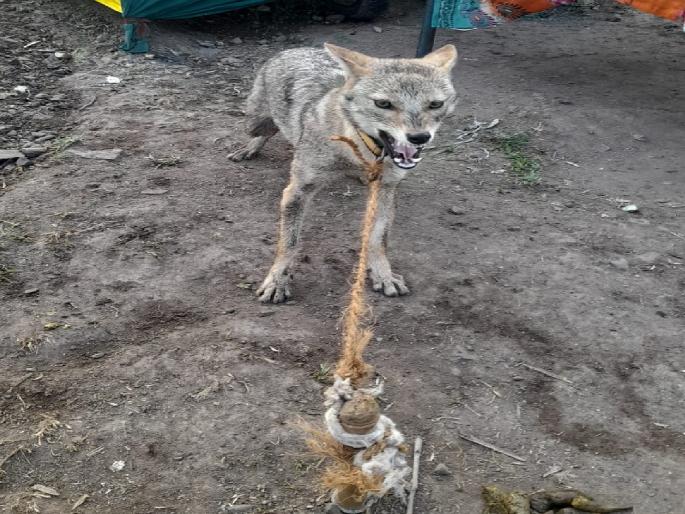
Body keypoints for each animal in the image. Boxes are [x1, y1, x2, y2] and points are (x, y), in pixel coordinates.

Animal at [229, 43, 458, 303]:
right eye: (383, 104)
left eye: (435, 104)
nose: (419, 137)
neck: (360, 151)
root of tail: (296, 48)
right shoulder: (297, 191)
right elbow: (288, 243)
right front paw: (277, 280)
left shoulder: (386, 190)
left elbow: (378, 239)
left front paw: (383, 274)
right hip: (256, 123)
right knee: (264, 132)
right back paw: (250, 148)